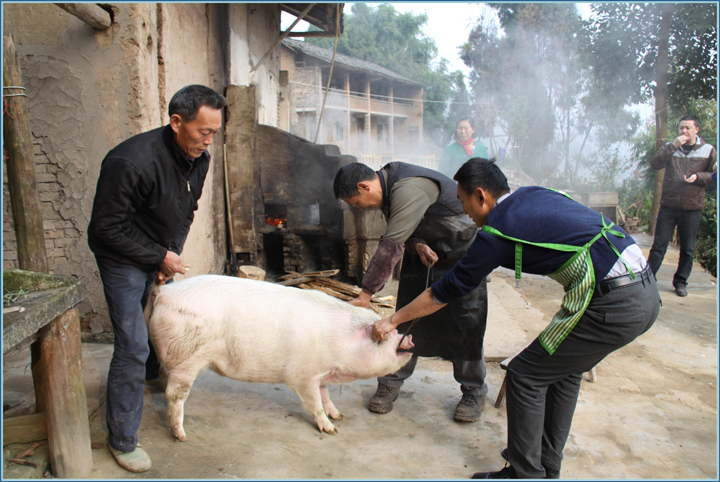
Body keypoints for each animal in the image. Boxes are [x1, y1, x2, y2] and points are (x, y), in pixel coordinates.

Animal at [143, 274, 414, 440]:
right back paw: (181, 436)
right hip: (185, 359)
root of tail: (163, 291)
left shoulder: (321, 372)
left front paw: (339, 415)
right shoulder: (302, 376)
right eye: (386, 337)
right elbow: (314, 402)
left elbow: (326, 395)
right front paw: (332, 430)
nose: (409, 337)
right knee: (175, 395)